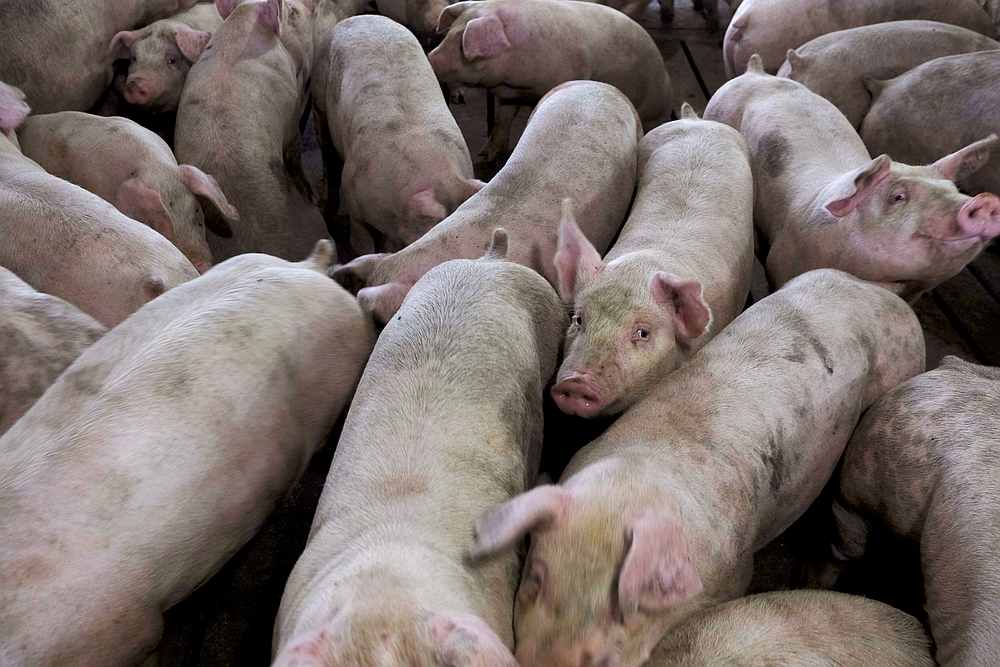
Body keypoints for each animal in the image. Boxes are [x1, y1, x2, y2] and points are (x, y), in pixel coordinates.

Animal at [428, 0, 671, 161]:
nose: (430, 57)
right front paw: (486, 155)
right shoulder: (510, 95)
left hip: (653, 108)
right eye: (449, 34)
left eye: (461, 43)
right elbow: (503, 119)